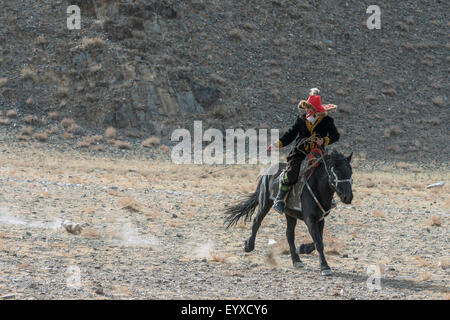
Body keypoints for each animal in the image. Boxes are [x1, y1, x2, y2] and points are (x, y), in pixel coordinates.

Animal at [223, 150, 354, 276]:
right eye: (335, 172)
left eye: (350, 172)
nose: (348, 197)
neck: (317, 187)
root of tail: (268, 170)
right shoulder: (310, 219)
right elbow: (318, 242)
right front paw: (325, 267)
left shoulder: (320, 219)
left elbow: (319, 240)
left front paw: (303, 248)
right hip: (265, 203)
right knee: (257, 221)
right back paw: (249, 246)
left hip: (290, 214)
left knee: (289, 234)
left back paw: (296, 260)